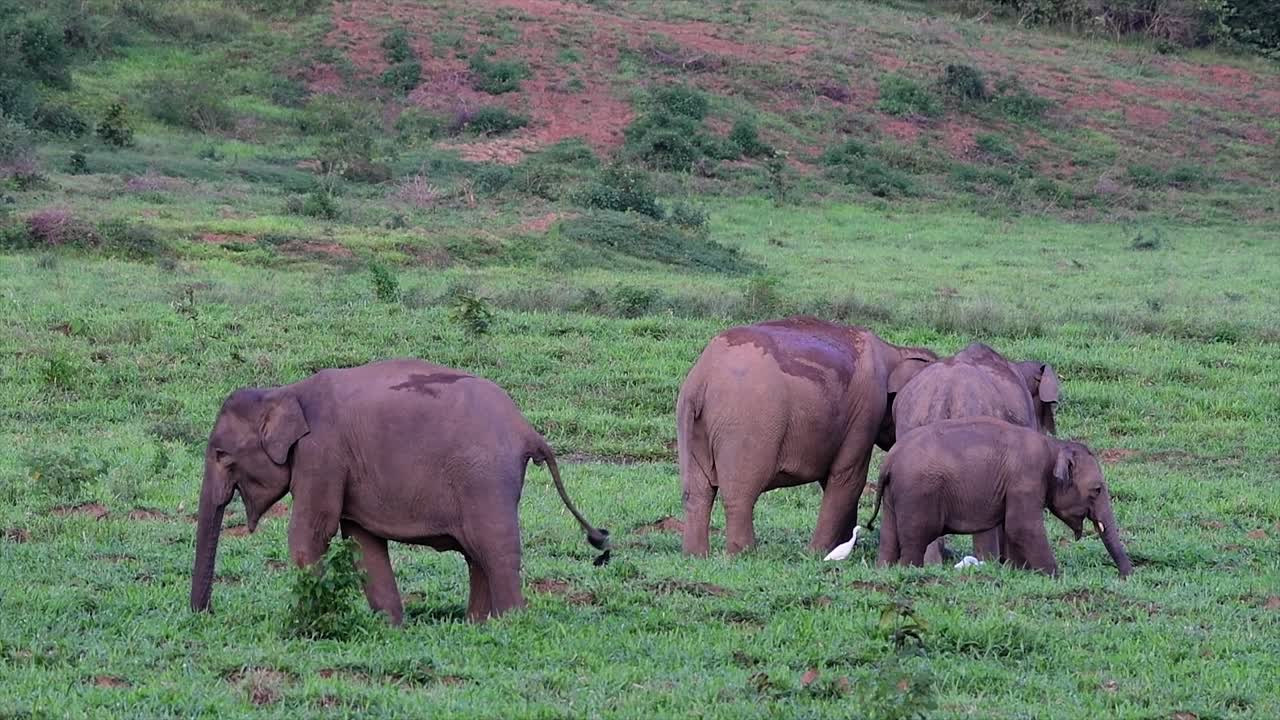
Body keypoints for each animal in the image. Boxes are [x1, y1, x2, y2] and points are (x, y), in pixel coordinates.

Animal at [190, 359, 609, 625]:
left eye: (221, 455)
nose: (205, 614)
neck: (283, 391)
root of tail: (527, 429)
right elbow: (361, 542)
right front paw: (390, 626)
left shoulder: (322, 454)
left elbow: (311, 533)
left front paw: (309, 620)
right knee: (477, 552)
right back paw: (476, 625)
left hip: (484, 477)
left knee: (495, 547)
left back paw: (510, 623)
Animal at [676, 316, 936, 556]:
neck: (895, 351)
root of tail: (701, 380)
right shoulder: (866, 410)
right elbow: (849, 478)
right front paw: (819, 554)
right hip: (746, 423)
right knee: (740, 494)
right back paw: (744, 555)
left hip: (693, 425)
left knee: (696, 493)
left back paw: (696, 556)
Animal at [868, 417, 1133, 577]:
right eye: (1097, 490)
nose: (1125, 576)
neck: (1054, 447)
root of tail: (889, 461)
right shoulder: (1026, 479)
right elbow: (1022, 527)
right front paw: (1055, 576)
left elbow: (1013, 528)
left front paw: (1019, 572)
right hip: (917, 495)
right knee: (915, 542)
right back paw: (908, 571)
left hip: (894, 497)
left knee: (889, 538)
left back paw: (885, 571)